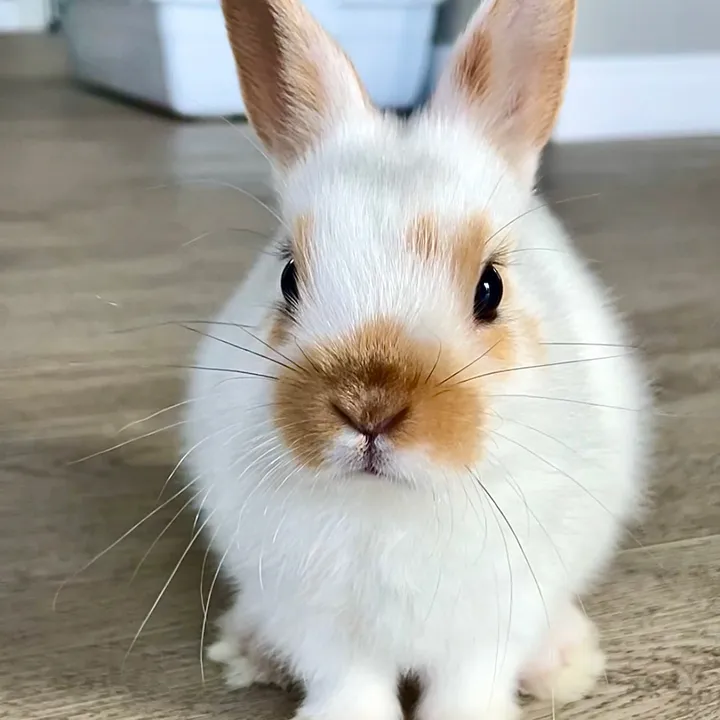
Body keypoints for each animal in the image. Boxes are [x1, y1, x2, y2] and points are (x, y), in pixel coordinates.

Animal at [182, 0, 651, 718]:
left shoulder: (494, 619)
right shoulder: (319, 626)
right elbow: (348, 685)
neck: (390, 504)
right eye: (288, 278)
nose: (368, 409)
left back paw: (564, 662)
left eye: (491, 288)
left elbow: (468, 684)